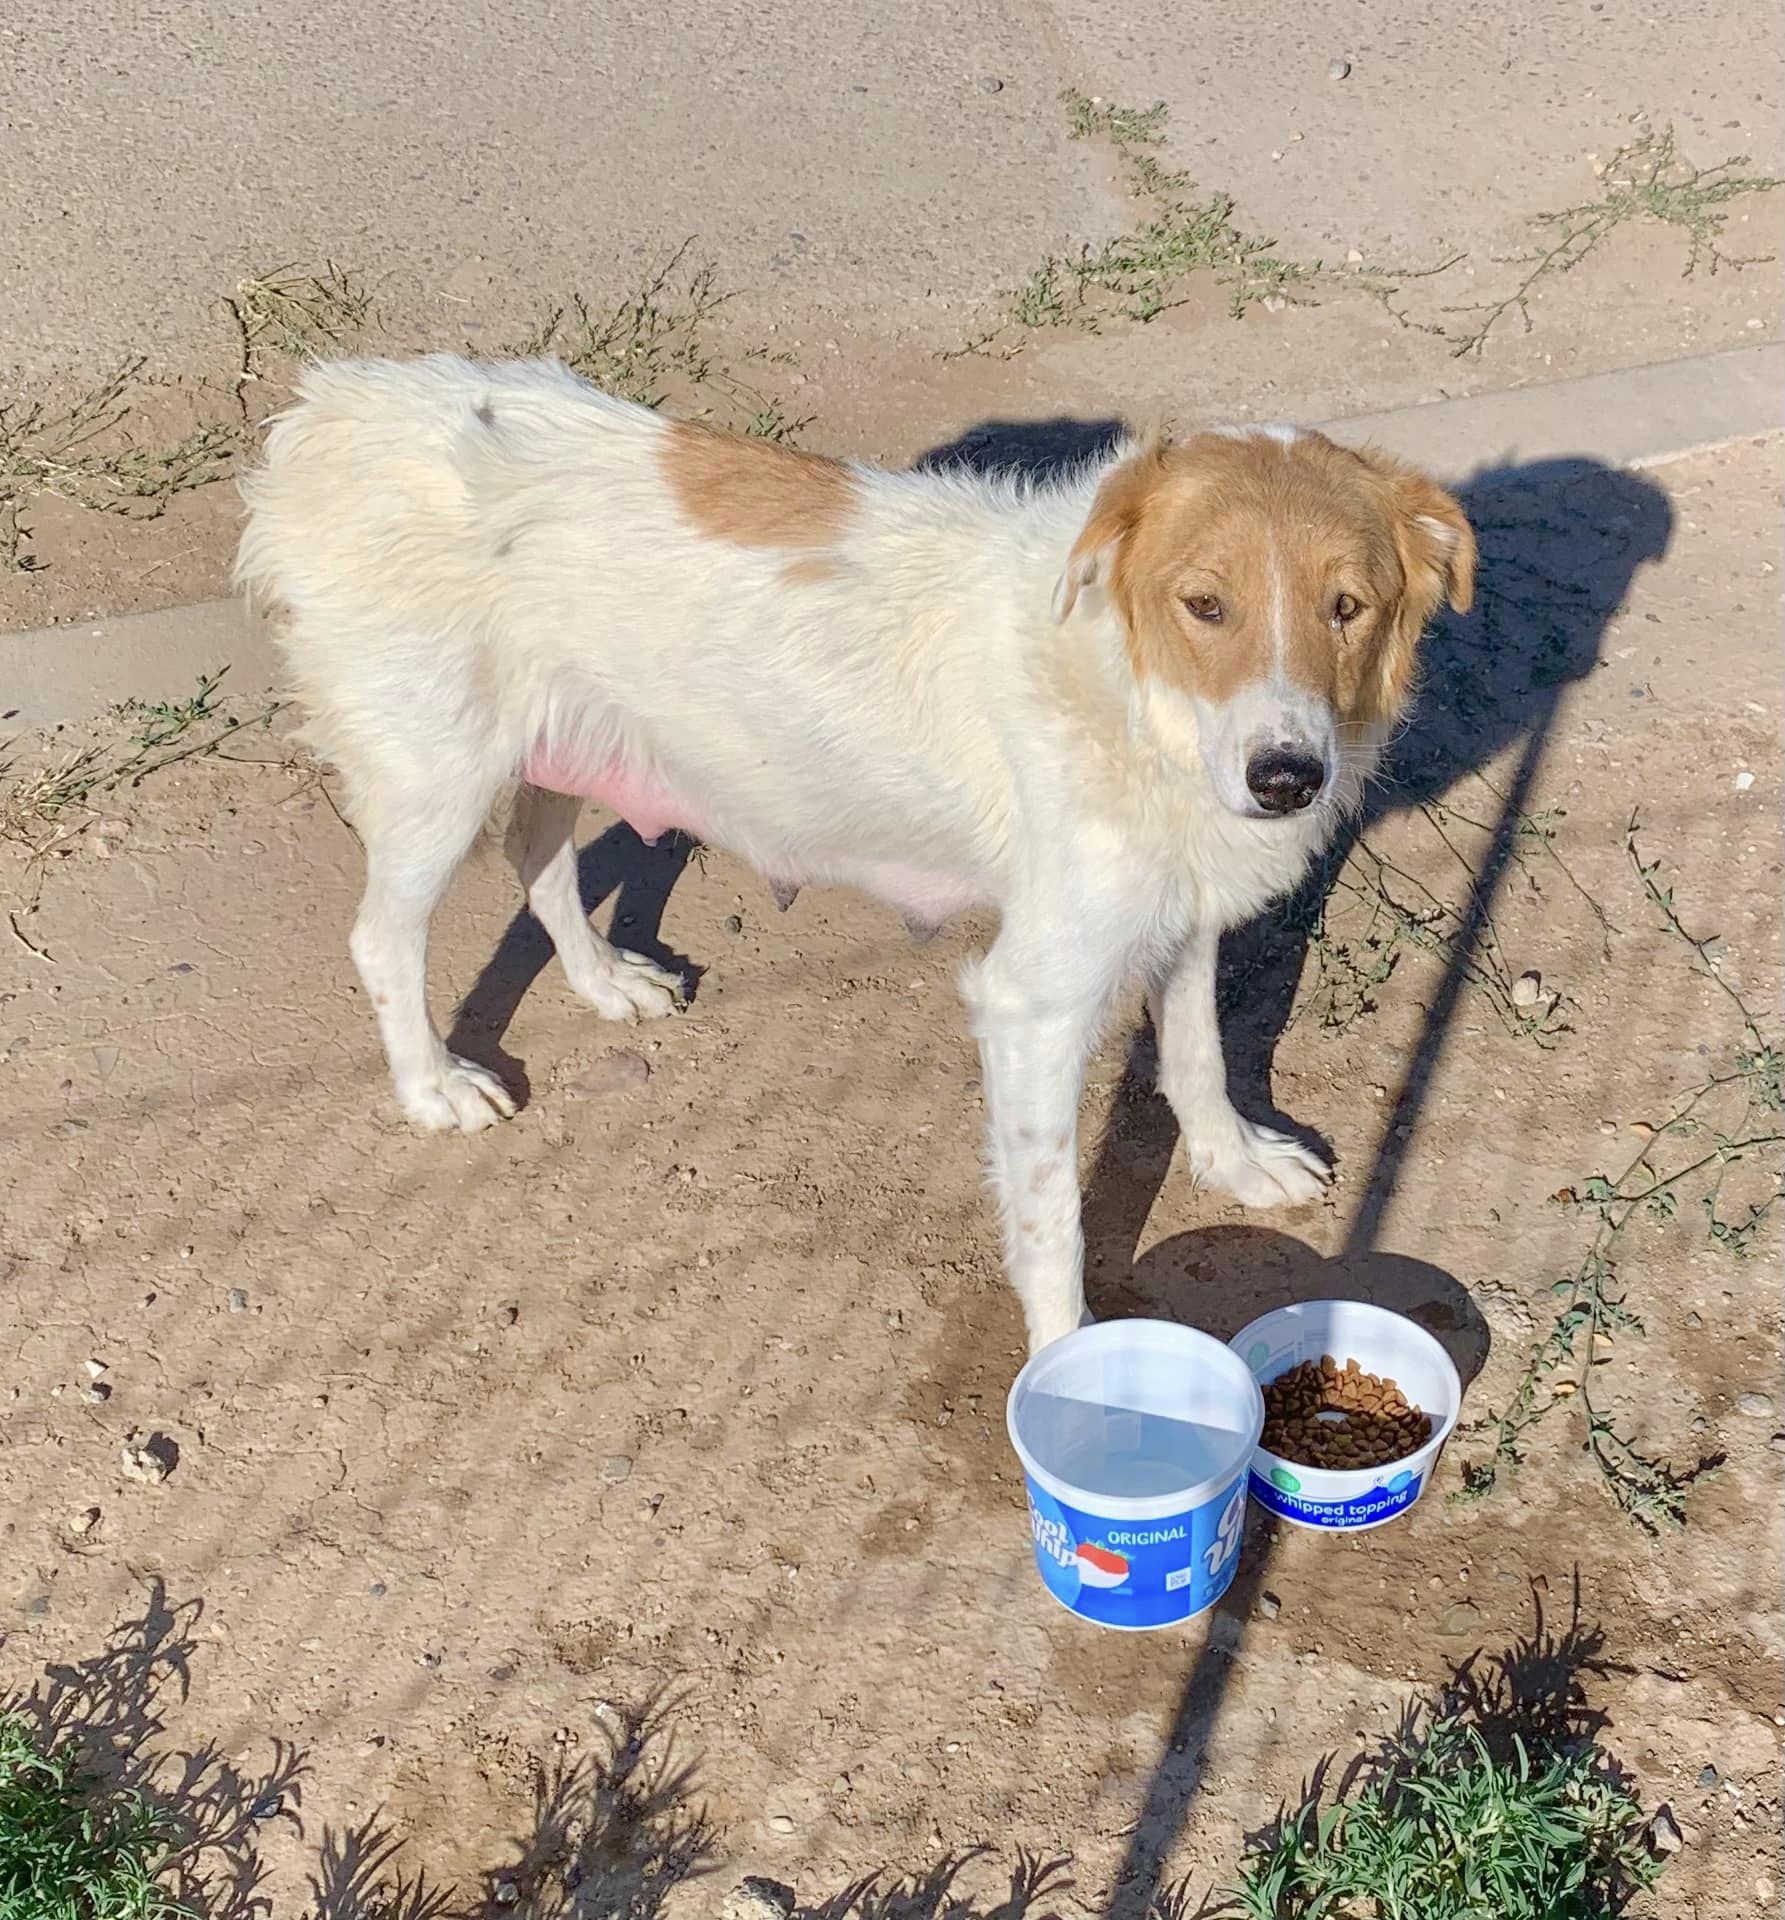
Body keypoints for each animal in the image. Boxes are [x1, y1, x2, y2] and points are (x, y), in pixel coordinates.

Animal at [243, 357, 1481, 1351]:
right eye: (1206, 606)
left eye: (1347, 607)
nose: (1286, 778)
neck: (1130, 693)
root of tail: (336, 405)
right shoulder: (1033, 999)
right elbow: (1052, 1222)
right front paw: (1065, 1367)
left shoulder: (1171, 908)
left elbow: (1198, 1054)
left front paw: (1232, 1160)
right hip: (436, 779)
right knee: (384, 937)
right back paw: (431, 1085)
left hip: (566, 740)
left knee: (537, 855)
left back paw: (602, 981)